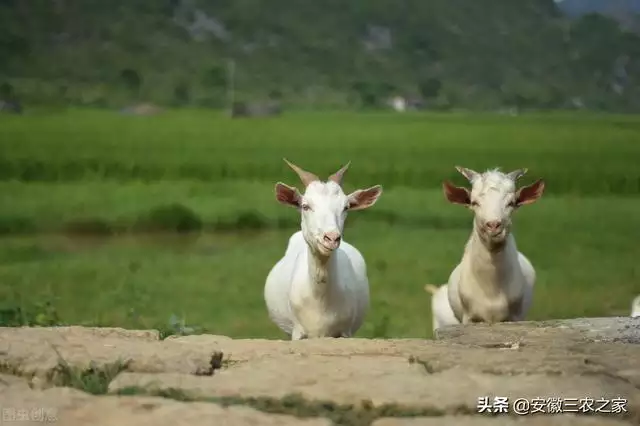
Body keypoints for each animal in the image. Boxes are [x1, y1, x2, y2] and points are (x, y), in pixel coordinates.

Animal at [264, 159, 382, 340]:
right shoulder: (297, 332)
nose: (331, 238)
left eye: (346, 207)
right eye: (305, 206)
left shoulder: (345, 331)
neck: (319, 300)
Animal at [428, 166, 548, 330]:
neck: (491, 289)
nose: (493, 225)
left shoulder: (514, 317)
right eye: (474, 202)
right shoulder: (469, 318)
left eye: (512, 203)